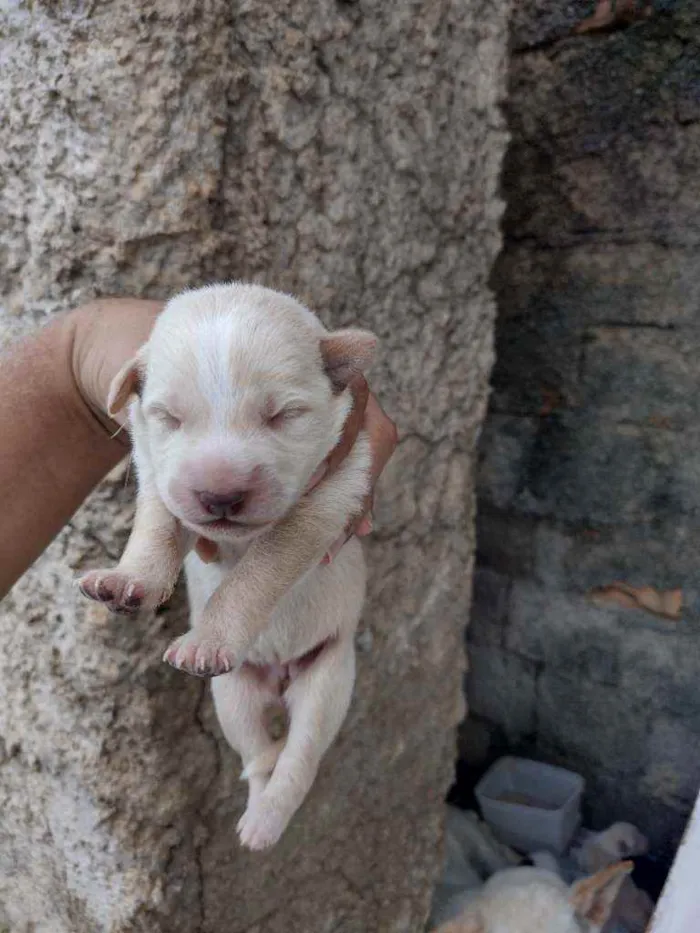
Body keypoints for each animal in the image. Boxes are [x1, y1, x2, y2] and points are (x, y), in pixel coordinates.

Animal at [78, 284, 378, 852]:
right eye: (169, 417)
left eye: (282, 415)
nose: (220, 496)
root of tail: (280, 676)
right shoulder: (156, 473)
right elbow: (155, 525)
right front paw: (126, 581)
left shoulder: (328, 499)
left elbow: (255, 574)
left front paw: (207, 636)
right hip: (232, 695)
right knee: (258, 757)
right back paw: (254, 805)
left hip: (329, 678)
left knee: (299, 760)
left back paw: (265, 825)